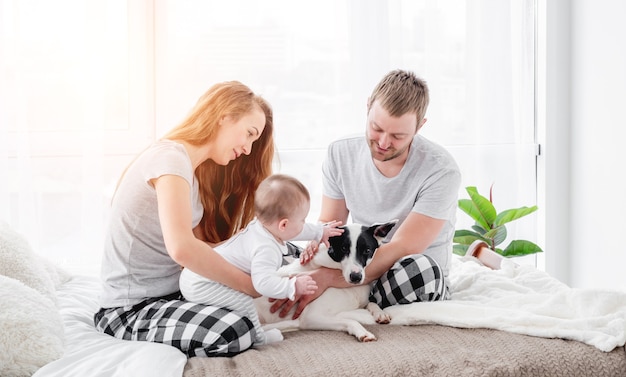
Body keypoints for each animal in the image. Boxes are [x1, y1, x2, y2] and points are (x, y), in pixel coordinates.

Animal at [252, 219, 394, 342]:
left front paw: (380, 313)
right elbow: (350, 321)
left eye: (367, 250)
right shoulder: (311, 318)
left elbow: (371, 303)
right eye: (343, 248)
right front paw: (362, 332)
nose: (356, 277)